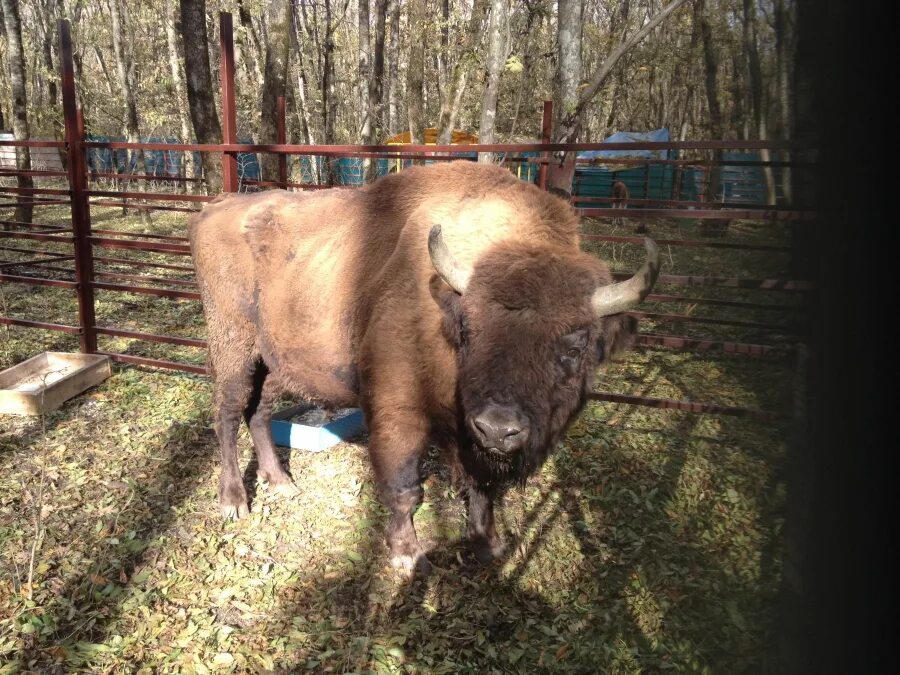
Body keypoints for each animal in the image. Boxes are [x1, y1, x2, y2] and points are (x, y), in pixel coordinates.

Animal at [190, 160, 656, 572]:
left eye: (576, 343)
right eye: (468, 328)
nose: (500, 428)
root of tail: (214, 209)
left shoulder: (470, 435)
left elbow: (480, 486)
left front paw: (488, 545)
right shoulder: (400, 412)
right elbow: (405, 488)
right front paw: (407, 555)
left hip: (274, 363)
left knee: (259, 413)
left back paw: (282, 483)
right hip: (233, 349)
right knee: (228, 415)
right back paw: (234, 501)